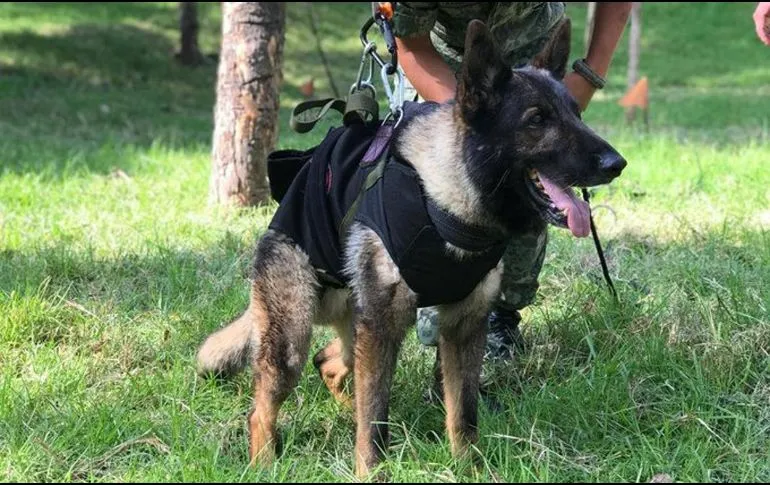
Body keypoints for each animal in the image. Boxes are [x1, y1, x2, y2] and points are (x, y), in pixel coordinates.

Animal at [196, 18, 624, 476]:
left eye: (576, 114)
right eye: (537, 119)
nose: (617, 164)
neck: (448, 202)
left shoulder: (463, 329)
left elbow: (462, 414)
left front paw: (469, 469)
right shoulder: (385, 329)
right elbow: (374, 422)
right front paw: (370, 472)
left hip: (355, 332)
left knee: (329, 363)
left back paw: (343, 411)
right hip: (295, 338)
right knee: (265, 408)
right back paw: (265, 463)